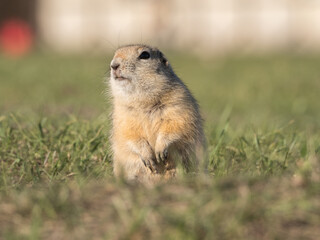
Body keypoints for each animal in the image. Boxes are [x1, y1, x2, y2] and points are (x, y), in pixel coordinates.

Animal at [109, 44, 205, 184]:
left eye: (144, 55)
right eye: (115, 53)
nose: (114, 65)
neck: (143, 101)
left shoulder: (179, 104)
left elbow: (176, 126)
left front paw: (160, 151)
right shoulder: (122, 115)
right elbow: (129, 135)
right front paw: (149, 158)